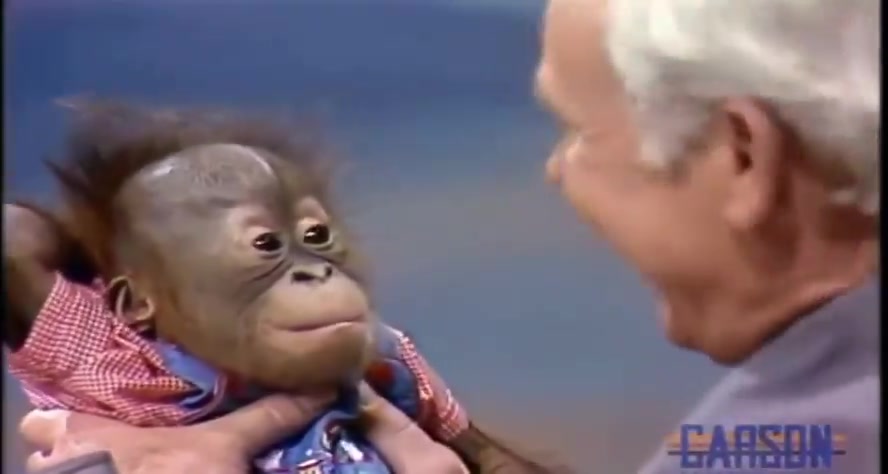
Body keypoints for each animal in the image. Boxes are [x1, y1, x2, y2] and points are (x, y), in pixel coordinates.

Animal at [4, 100, 567, 474]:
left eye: (316, 235)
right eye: (266, 244)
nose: (314, 273)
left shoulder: (399, 355)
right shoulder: (99, 354)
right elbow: (22, 244)